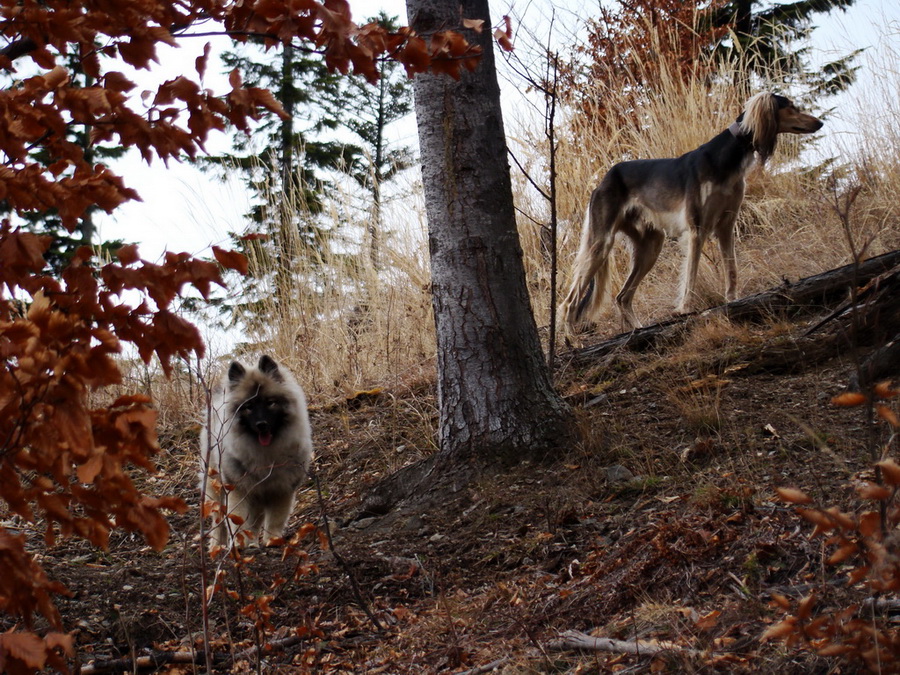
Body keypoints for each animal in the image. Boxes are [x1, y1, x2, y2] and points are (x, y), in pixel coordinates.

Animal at [200, 354, 312, 548]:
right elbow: (237, 520)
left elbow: (275, 519)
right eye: (249, 406)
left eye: (270, 403)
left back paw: (253, 542)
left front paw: (272, 540)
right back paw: (218, 546)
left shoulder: (281, 490)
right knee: (218, 521)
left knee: (255, 520)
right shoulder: (238, 490)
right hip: (217, 490)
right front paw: (239, 544)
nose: (261, 424)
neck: (265, 453)